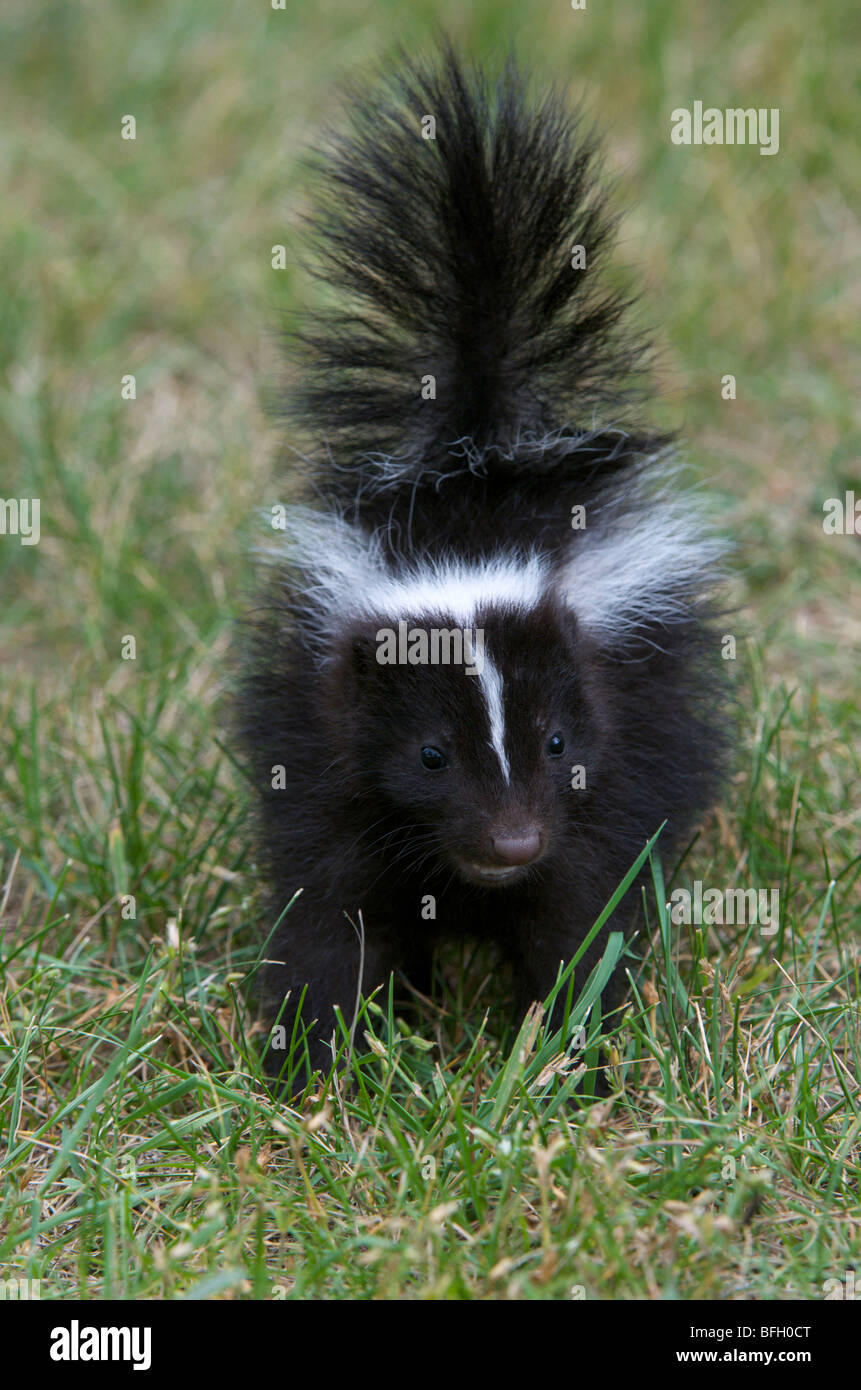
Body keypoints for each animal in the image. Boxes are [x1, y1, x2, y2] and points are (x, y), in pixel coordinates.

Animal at [237, 46, 734, 1095]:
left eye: (554, 741)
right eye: (431, 754)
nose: (511, 840)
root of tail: (479, 449)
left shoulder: (608, 761)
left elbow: (581, 913)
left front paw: (575, 1057)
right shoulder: (325, 755)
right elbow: (332, 912)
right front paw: (315, 1061)